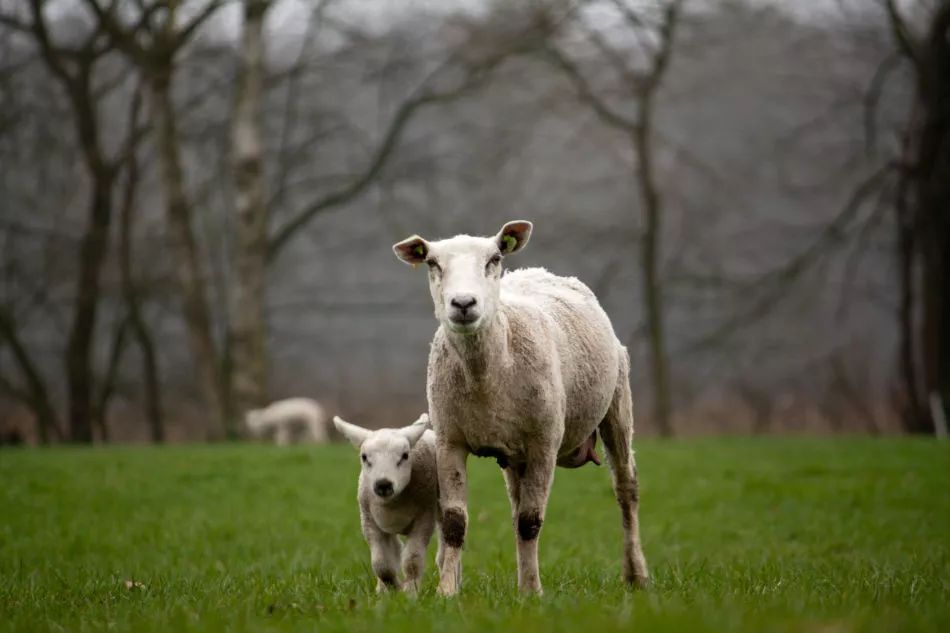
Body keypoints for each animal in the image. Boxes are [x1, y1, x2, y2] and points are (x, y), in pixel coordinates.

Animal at [332, 412, 444, 596]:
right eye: (364, 457)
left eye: (405, 455)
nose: (383, 484)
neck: (393, 503)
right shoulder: (370, 523)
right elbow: (381, 564)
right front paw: (393, 589)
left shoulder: (425, 518)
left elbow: (412, 560)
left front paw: (410, 593)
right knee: (395, 549)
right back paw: (382, 590)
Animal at [390, 220, 652, 596]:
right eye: (432, 264)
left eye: (494, 259)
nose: (464, 303)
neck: (487, 376)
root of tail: (541, 271)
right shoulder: (449, 440)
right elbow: (456, 523)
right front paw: (447, 591)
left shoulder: (545, 442)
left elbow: (531, 521)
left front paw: (531, 592)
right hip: (514, 454)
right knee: (516, 509)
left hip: (617, 403)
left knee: (625, 489)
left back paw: (636, 575)